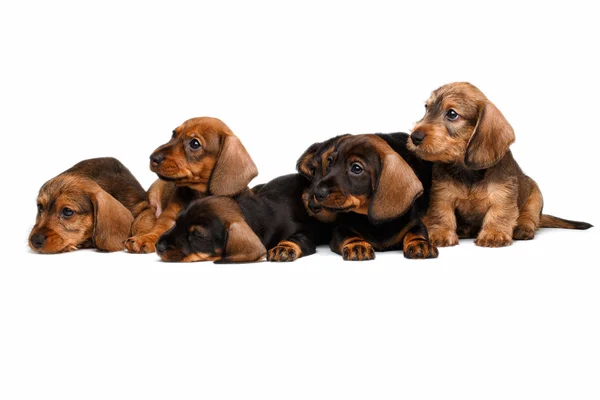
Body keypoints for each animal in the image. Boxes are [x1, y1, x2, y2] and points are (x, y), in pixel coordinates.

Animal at [124, 116, 258, 253]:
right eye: (173, 134)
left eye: (195, 143)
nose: (152, 158)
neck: (198, 193)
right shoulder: (168, 218)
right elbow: (158, 229)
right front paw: (144, 238)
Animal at [152, 174, 328, 262]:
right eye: (177, 221)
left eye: (198, 235)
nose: (158, 246)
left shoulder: (305, 232)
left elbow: (298, 238)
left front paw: (283, 248)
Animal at [298, 133, 438, 260]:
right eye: (330, 162)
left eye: (356, 168)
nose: (317, 195)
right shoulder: (340, 229)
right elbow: (348, 235)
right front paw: (357, 245)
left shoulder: (415, 223)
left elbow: (416, 232)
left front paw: (420, 243)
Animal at [408, 82, 592, 247]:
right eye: (426, 108)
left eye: (452, 114)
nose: (415, 137)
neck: (467, 170)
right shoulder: (442, 195)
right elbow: (442, 214)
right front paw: (440, 233)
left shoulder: (503, 196)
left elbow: (498, 214)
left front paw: (494, 234)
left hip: (535, 196)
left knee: (530, 217)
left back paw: (523, 228)